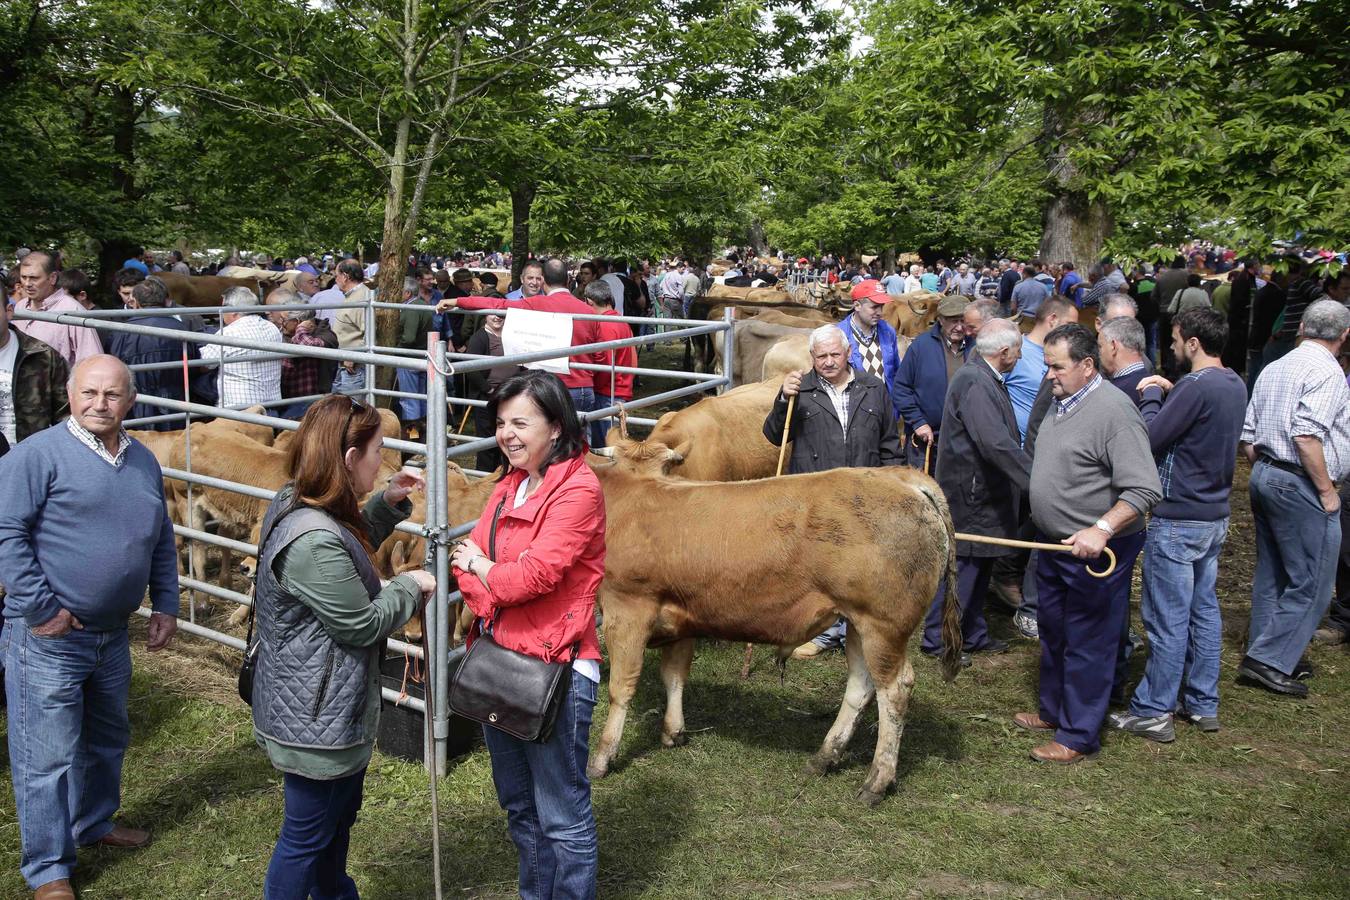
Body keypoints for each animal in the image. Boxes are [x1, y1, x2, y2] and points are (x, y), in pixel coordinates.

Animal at [588, 439, 961, 804]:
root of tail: (901, 477)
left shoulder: (626, 611)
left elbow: (621, 687)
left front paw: (603, 757)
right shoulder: (681, 618)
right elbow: (675, 676)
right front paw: (673, 732)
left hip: (883, 625)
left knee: (894, 690)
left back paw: (877, 781)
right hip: (857, 623)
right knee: (861, 685)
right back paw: (824, 757)